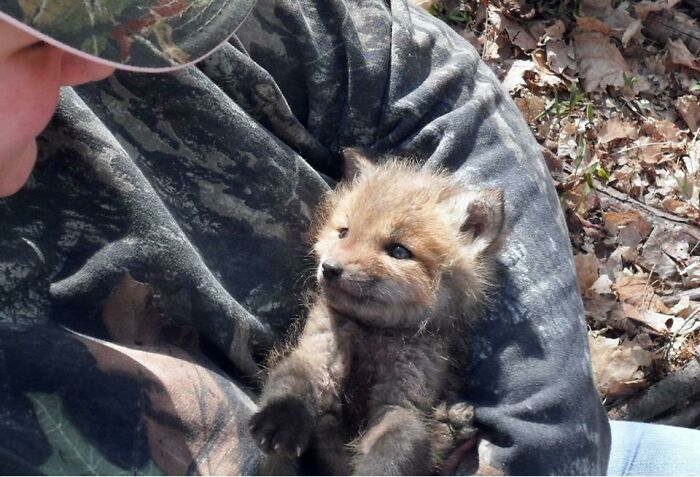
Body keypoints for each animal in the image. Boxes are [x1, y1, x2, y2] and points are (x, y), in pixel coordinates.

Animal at [249, 149, 505, 475]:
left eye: (399, 251)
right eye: (344, 233)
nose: (329, 268)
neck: (373, 333)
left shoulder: (401, 402)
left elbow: (394, 446)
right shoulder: (318, 353)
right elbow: (294, 382)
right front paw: (281, 419)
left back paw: (451, 426)